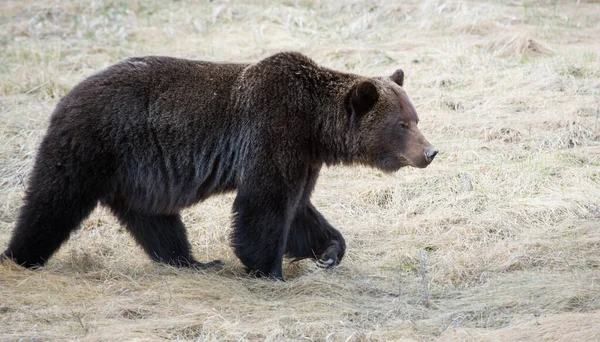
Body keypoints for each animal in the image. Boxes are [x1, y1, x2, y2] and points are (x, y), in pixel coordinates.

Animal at [2, 51, 438, 280]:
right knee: (52, 201)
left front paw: (329, 249)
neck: (315, 126)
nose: (431, 151)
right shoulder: (272, 132)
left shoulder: (303, 157)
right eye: (402, 124)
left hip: (138, 176)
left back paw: (192, 261)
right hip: (93, 146)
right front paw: (269, 269)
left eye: (415, 118)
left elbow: (298, 210)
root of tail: (65, 96)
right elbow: (264, 206)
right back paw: (20, 256)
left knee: (155, 221)